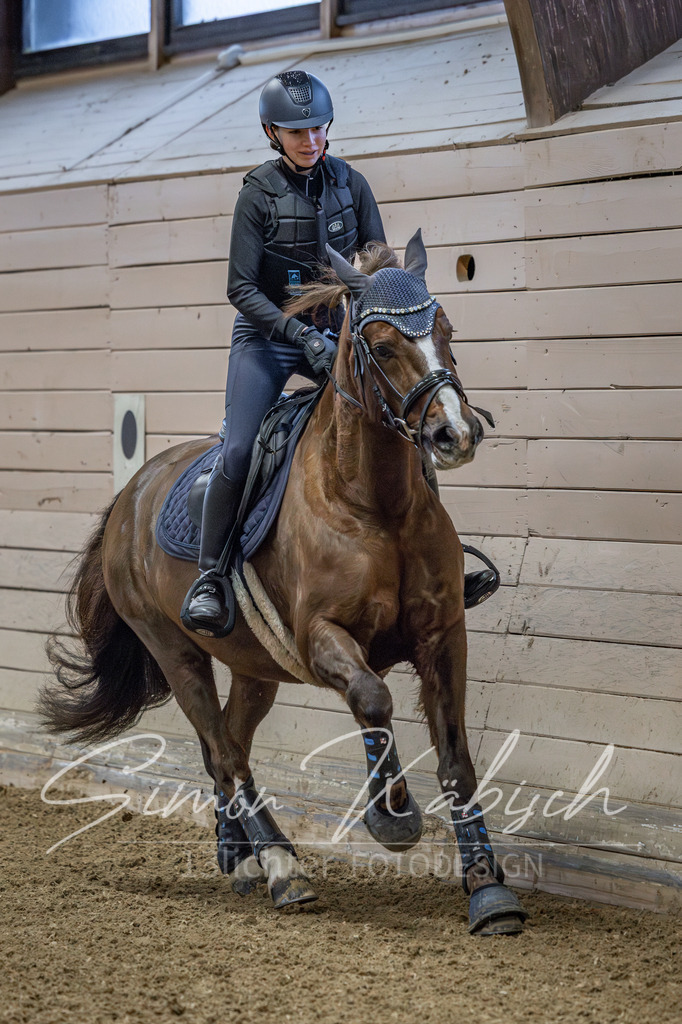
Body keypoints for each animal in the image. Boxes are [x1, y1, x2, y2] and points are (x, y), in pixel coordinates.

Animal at [40, 231, 527, 935]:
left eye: (446, 330)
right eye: (383, 346)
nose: (454, 434)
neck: (373, 503)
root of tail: (130, 496)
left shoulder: (442, 634)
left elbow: (457, 757)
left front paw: (489, 890)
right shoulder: (323, 636)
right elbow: (374, 699)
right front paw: (393, 819)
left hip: (254, 667)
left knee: (228, 741)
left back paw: (238, 855)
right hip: (176, 650)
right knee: (223, 751)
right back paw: (279, 866)